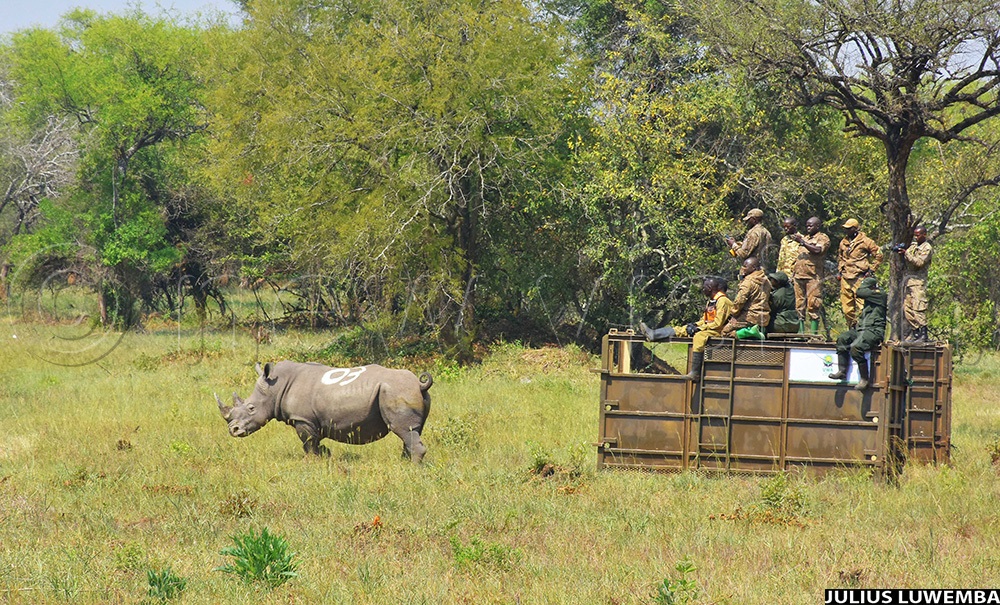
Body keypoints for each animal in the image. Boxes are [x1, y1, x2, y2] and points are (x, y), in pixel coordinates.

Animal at [216, 361, 432, 462]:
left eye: (251, 408)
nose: (233, 430)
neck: (275, 387)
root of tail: (419, 384)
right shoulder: (312, 421)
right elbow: (315, 442)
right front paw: (325, 456)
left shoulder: (303, 419)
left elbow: (308, 443)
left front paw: (311, 462)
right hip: (406, 392)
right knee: (411, 431)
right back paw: (404, 461)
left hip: (397, 391)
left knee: (402, 430)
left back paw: (411, 467)